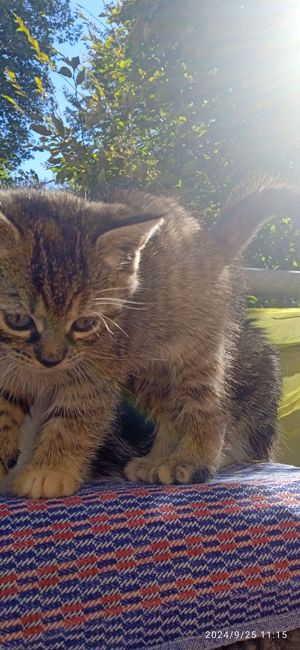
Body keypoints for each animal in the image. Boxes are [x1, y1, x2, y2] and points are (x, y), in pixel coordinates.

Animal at [0, 182, 296, 496]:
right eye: (17, 319)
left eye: (85, 323)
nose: (51, 359)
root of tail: (211, 241)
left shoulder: (96, 370)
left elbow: (75, 418)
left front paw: (50, 471)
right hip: (148, 370)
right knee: (170, 413)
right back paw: (156, 459)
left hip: (194, 351)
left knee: (209, 407)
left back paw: (191, 460)